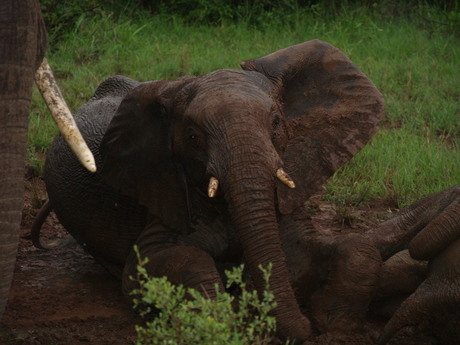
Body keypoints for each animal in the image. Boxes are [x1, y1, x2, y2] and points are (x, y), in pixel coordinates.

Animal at [33, 39, 460, 342]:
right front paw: (219, 318)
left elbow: (331, 251)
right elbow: (157, 265)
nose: (304, 329)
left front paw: (333, 325)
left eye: (276, 122)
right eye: (194, 137)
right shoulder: (166, 191)